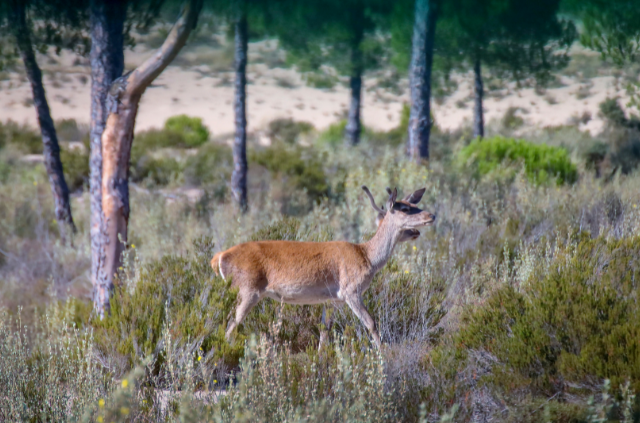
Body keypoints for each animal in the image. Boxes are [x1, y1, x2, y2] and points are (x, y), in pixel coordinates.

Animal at [210, 186, 436, 348]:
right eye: (405, 209)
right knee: (230, 325)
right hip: (246, 290)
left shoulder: (332, 300)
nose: (431, 216)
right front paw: (383, 354)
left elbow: (324, 332)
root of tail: (218, 257)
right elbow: (371, 323)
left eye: (412, 203)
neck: (367, 257)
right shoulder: (350, 291)